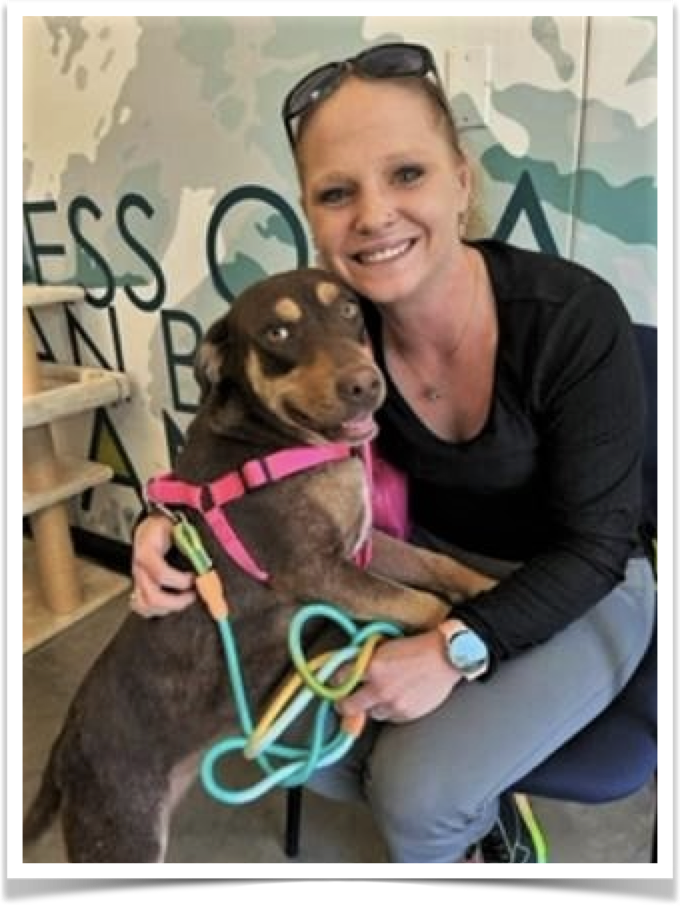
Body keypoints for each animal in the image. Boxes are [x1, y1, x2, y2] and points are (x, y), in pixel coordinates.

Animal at [23, 268, 492, 860]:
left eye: (348, 310)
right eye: (277, 333)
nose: (366, 384)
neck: (271, 439)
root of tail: (63, 748)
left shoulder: (363, 545)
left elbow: (436, 564)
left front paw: (488, 584)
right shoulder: (318, 570)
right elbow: (424, 603)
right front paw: (443, 641)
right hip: (121, 835)